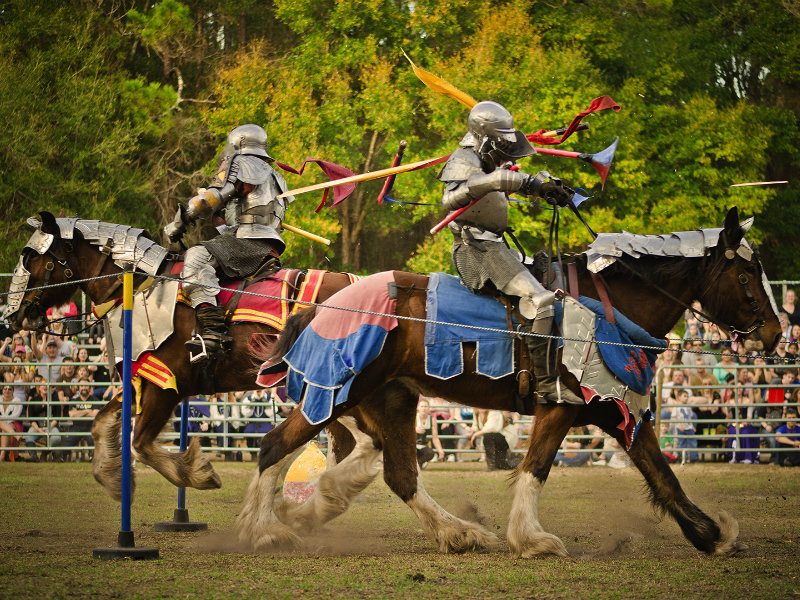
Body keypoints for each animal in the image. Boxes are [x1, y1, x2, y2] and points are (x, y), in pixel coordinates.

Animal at [2, 213, 354, 500]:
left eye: (37, 262)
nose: (14, 316)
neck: (136, 287)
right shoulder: (142, 378)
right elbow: (101, 425)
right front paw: (114, 481)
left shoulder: (165, 386)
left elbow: (140, 444)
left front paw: (198, 472)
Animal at [233, 209, 780, 556]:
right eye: (746, 276)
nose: (774, 334)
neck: (609, 309)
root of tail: (322, 305)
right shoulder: (561, 406)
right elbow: (536, 468)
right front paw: (532, 540)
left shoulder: (615, 410)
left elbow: (662, 474)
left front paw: (709, 534)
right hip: (336, 394)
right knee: (275, 447)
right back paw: (263, 533)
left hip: (386, 399)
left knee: (397, 473)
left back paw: (457, 534)